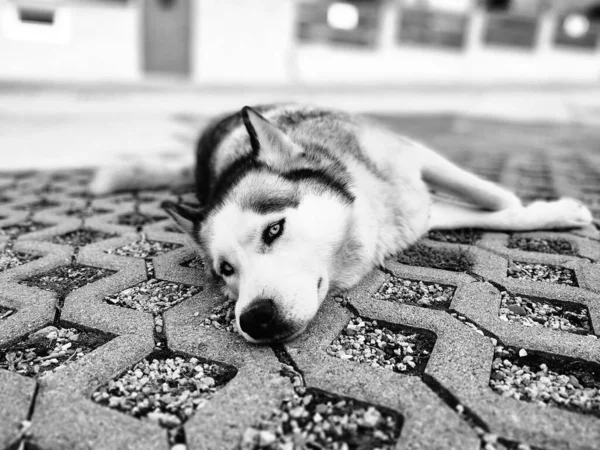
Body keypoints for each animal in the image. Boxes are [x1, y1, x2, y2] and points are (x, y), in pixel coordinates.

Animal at [90, 106, 596, 344]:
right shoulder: (414, 210)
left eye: (273, 230)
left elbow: (494, 197)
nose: (254, 318)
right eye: (226, 271)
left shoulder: (413, 164)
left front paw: (544, 208)